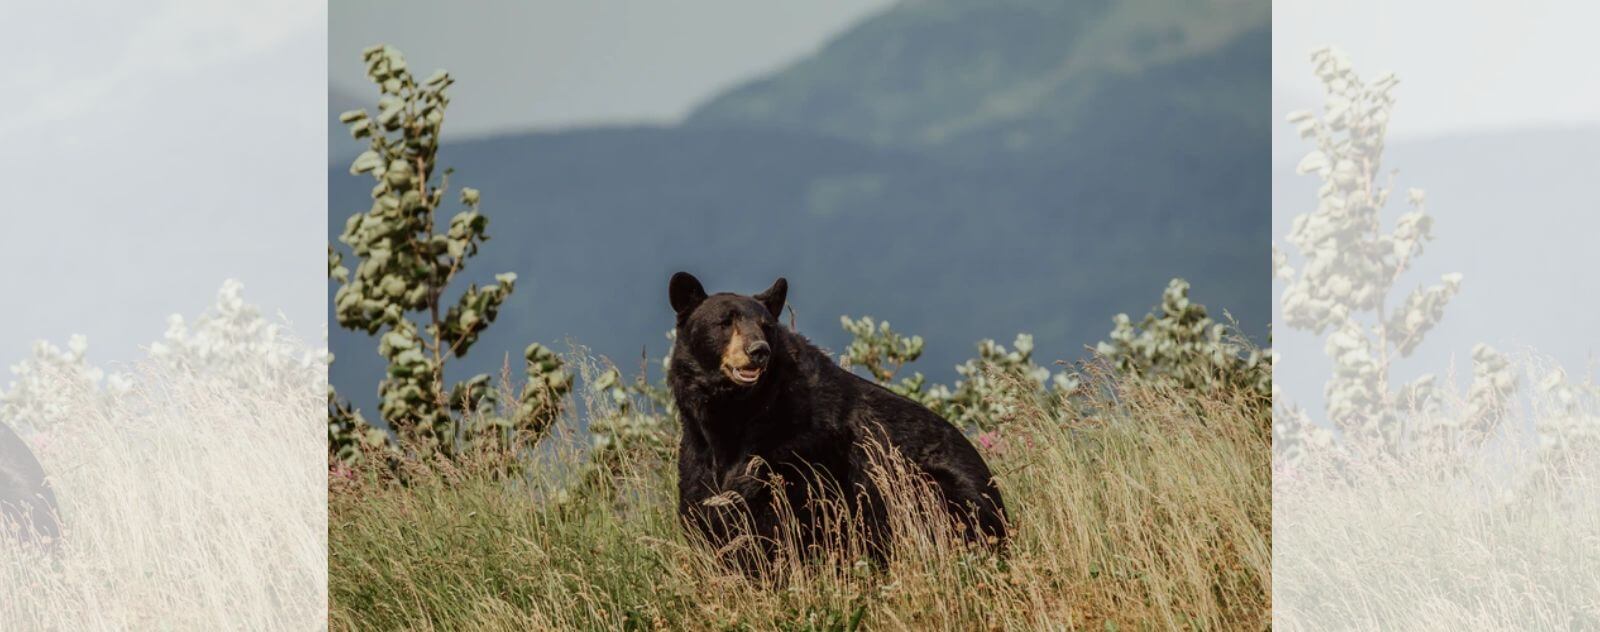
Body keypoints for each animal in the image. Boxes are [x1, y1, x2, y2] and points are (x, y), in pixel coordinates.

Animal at [668, 275, 1004, 572]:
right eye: (725, 322)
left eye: (766, 327)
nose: (758, 350)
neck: (735, 414)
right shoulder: (698, 451)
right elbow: (705, 508)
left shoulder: (797, 449)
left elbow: (781, 517)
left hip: (931, 489)